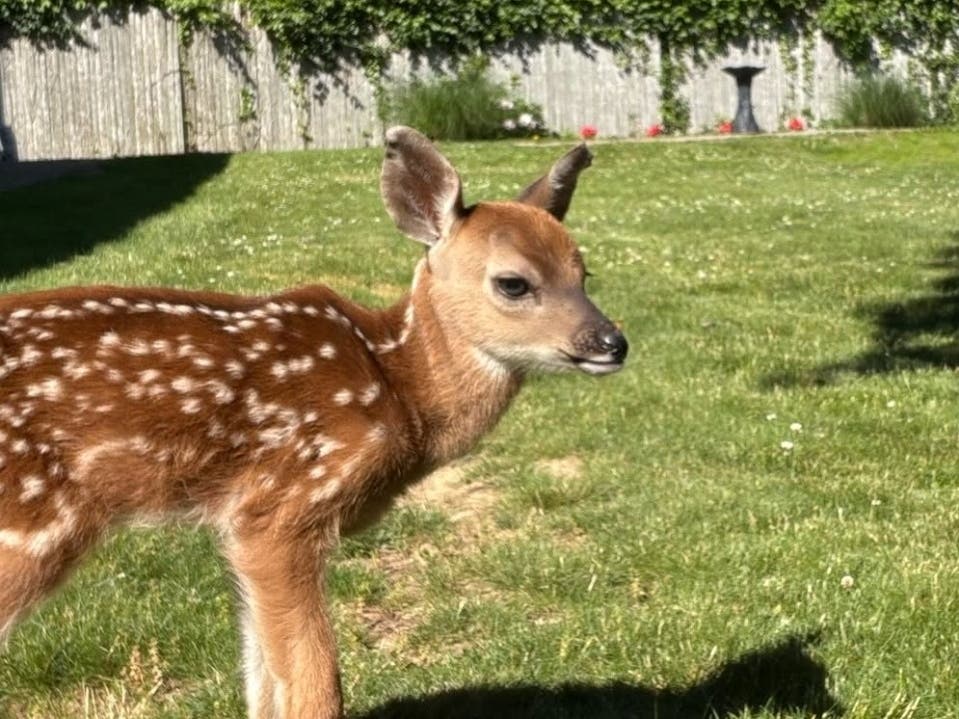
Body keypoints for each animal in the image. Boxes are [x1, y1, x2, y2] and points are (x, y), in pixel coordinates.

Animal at [0, 126, 628, 718]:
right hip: (32, 523)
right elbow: (316, 685)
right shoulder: (287, 504)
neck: (401, 391)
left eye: (584, 273)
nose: (612, 343)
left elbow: (264, 681)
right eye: (513, 282)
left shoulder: (238, 524)